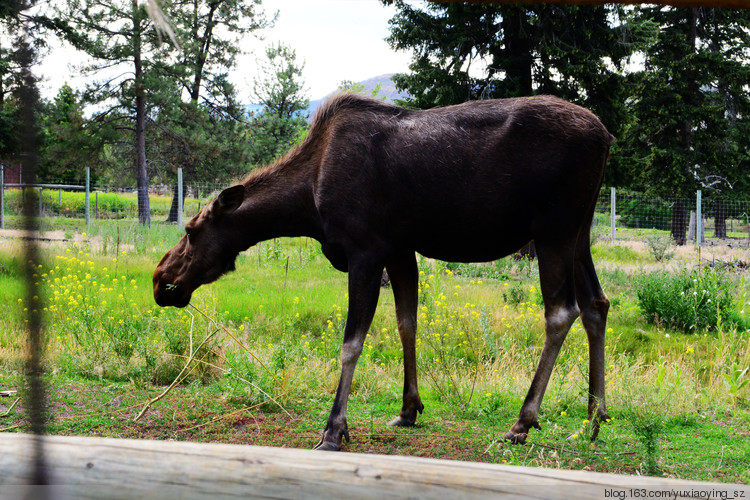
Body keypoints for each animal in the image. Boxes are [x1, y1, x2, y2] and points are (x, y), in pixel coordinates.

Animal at [154, 92, 616, 452]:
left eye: (192, 231)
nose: (159, 280)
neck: (307, 203)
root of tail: (606, 136)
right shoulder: (400, 250)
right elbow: (406, 323)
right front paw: (409, 409)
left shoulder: (365, 250)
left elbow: (351, 344)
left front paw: (334, 428)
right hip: (579, 232)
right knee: (597, 303)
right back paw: (593, 418)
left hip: (553, 229)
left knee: (561, 311)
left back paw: (523, 422)